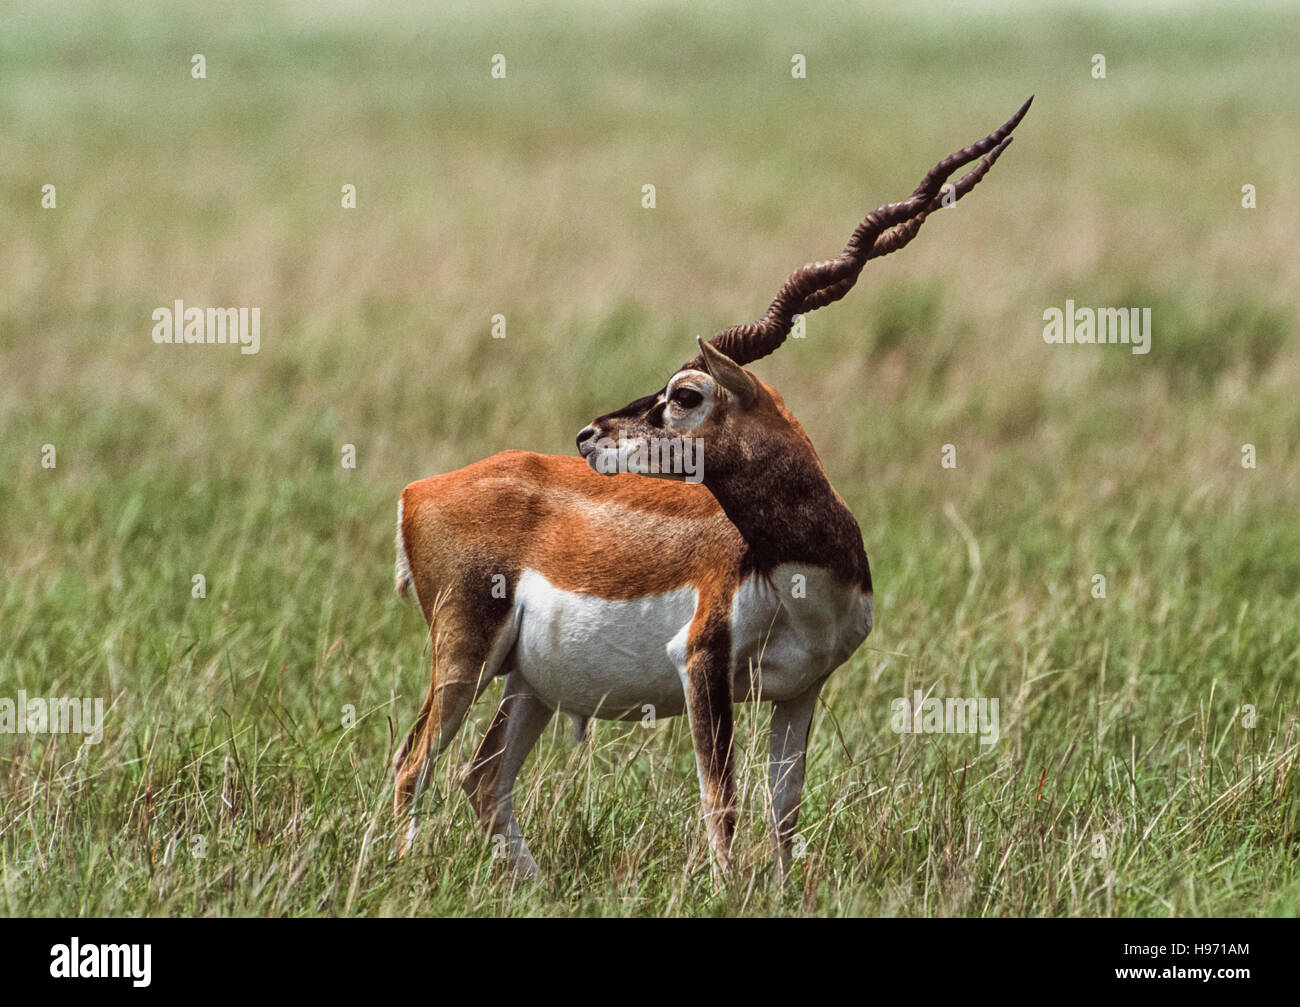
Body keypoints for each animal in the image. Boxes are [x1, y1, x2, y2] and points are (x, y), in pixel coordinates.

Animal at [390, 96, 1029, 883]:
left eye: (686, 393)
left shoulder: (804, 688)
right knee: (413, 764)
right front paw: (727, 889)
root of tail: (419, 491)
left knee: (480, 777)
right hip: (464, 653)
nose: (588, 433)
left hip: (528, 680)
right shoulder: (703, 662)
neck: (799, 565)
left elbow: (784, 811)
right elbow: (721, 800)